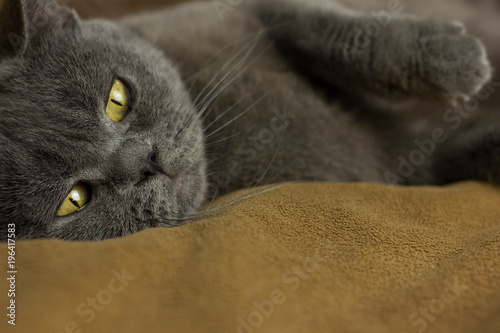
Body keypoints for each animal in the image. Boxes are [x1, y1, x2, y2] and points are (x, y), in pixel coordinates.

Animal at [0, 0, 496, 240]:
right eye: (75, 200)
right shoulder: (418, 169)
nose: (146, 162)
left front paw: (457, 61)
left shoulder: (253, 8)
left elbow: (340, 35)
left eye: (116, 99)